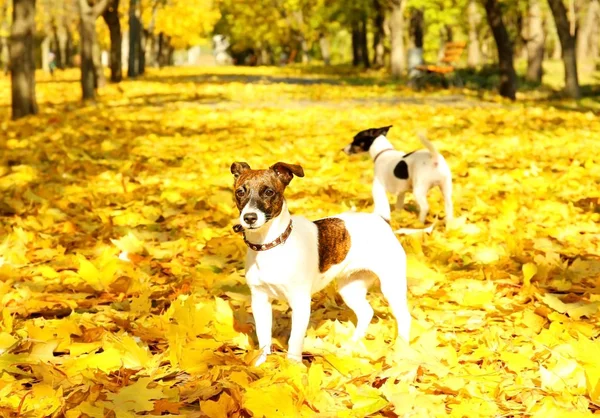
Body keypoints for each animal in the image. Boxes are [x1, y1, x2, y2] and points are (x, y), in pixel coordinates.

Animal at [231, 162, 412, 364]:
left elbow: (295, 340)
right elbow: (263, 337)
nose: (249, 217)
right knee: (366, 312)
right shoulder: (260, 300)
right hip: (350, 288)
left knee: (404, 317)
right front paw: (260, 363)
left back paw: (401, 350)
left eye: (269, 192)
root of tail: (380, 219)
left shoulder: (300, 302)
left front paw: (293, 366)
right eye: (240, 192)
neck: (270, 246)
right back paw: (353, 344)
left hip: (391, 285)